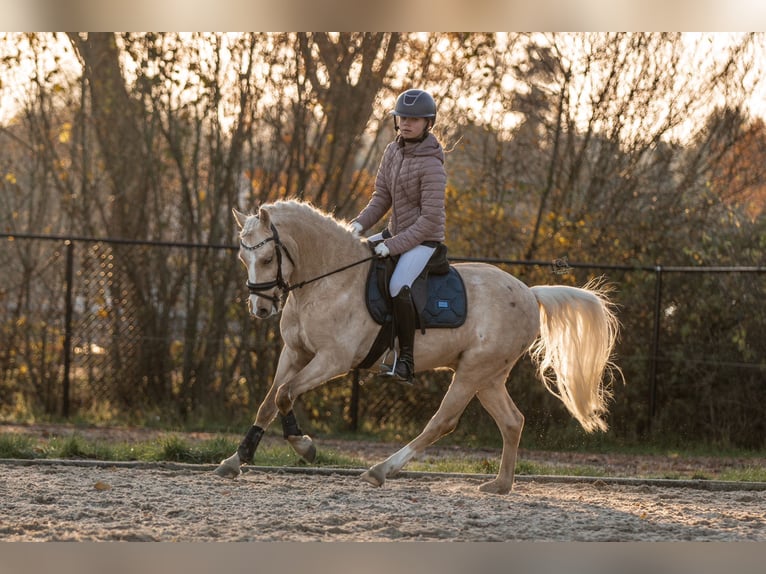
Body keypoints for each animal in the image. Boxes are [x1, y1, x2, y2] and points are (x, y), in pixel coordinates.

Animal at [216, 199, 624, 496]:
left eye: (268, 258)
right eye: (243, 258)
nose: (261, 309)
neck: (328, 281)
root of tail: (529, 292)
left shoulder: (333, 360)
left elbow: (285, 394)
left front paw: (304, 446)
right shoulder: (295, 353)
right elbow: (269, 402)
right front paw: (238, 459)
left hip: (473, 372)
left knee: (442, 421)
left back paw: (381, 470)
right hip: (488, 377)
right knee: (512, 421)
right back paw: (500, 485)